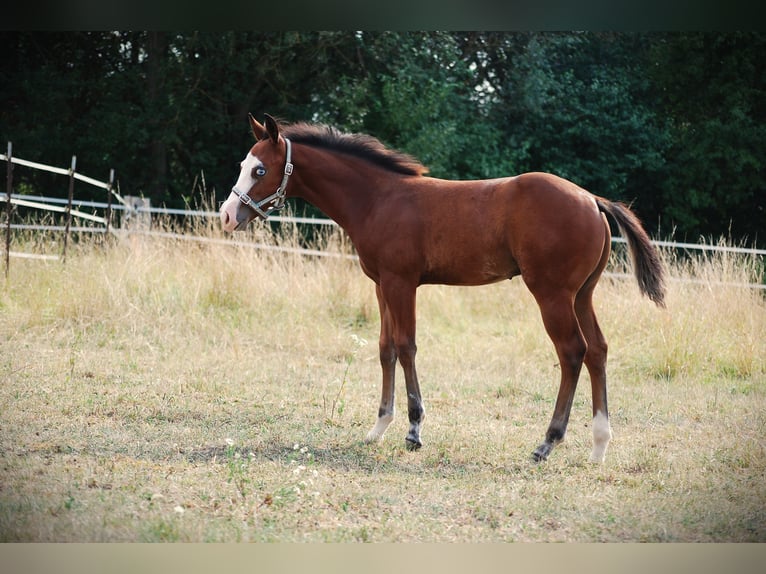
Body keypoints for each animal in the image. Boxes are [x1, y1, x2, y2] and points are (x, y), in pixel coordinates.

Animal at [220, 113, 666, 463]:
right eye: (243, 164)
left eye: (260, 170)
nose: (226, 215)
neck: (378, 198)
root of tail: (592, 199)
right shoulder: (382, 284)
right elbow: (385, 348)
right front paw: (378, 428)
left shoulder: (401, 283)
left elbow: (406, 346)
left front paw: (414, 431)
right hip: (582, 295)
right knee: (599, 351)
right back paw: (599, 445)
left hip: (552, 294)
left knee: (573, 351)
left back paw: (547, 443)